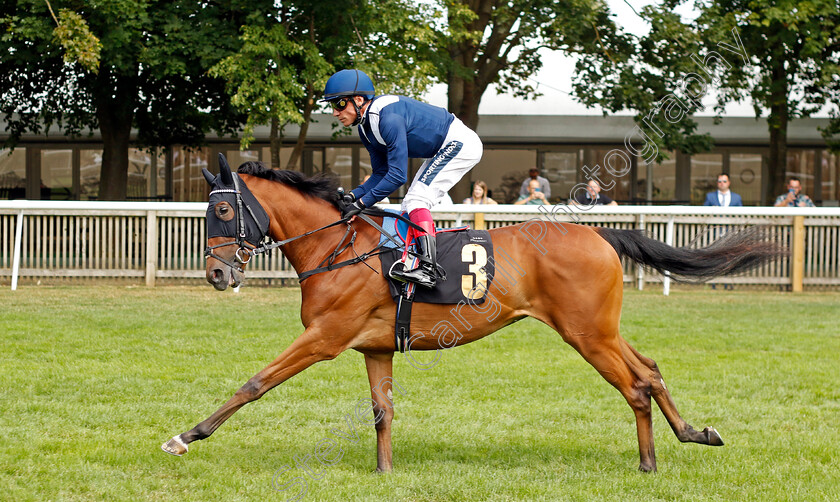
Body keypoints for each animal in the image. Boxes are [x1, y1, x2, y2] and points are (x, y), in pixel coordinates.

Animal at [162, 155, 780, 472]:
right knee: (649, 369)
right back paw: (696, 434)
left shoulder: (324, 337)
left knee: (634, 385)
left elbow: (254, 382)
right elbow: (382, 411)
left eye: (223, 210)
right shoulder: (375, 346)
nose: (217, 274)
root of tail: (600, 233)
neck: (336, 247)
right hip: (600, 328)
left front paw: (187, 436)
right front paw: (385, 472)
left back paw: (649, 463)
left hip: (586, 333)